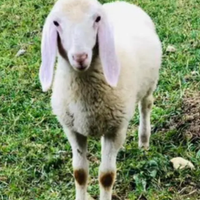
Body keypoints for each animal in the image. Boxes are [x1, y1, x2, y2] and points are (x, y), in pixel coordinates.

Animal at [39, 0, 162, 200]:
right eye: (56, 23)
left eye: (97, 19)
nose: (80, 57)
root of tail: (123, 3)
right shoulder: (73, 129)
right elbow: (80, 174)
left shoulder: (115, 130)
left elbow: (106, 176)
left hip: (150, 82)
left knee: (146, 106)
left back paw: (144, 141)